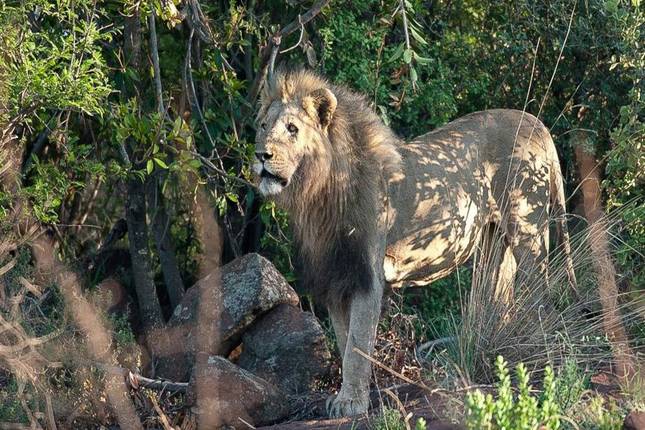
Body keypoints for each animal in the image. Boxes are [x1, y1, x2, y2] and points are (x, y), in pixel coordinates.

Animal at [253, 69, 577, 417]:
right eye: (263, 126)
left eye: (292, 129)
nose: (261, 155)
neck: (317, 196)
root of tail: (536, 122)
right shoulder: (336, 276)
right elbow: (343, 339)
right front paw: (346, 396)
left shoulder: (366, 275)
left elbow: (357, 344)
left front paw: (352, 402)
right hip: (495, 238)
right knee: (499, 292)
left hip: (528, 226)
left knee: (540, 294)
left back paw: (537, 356)